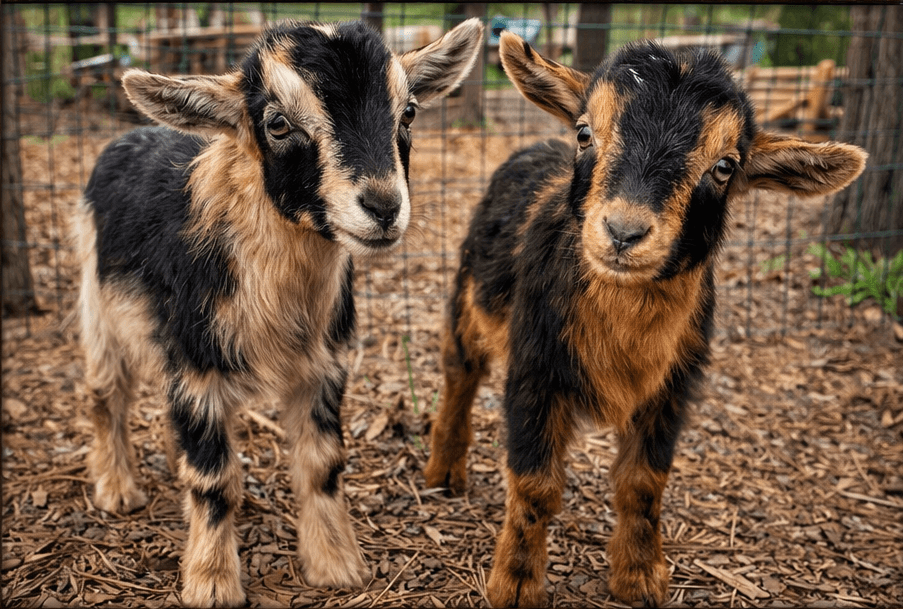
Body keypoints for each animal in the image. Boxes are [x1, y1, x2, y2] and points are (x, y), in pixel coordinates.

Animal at [76, 19, 482, 607]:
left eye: (408, 112)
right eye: (278, 123)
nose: (383, 207)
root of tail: (127, 136)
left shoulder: (323, 368)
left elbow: (322, 466)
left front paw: (336, 564)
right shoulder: (196, 366)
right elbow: (213, 477)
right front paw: (212, 581)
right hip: (98, 302)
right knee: (105, 392)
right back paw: (115, 487)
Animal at [424, 33, 867, 607]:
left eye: (726, 166)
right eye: (585, 132)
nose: (623, 231)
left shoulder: (672, 386)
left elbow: (644, 483)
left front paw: (640, 576)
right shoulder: (534, 370)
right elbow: (535, 484)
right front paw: (516, 583)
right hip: (468, 293)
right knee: (460, 372)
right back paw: (443, 471)